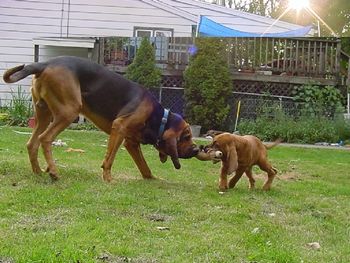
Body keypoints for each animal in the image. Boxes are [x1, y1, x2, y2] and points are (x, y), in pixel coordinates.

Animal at [3, 56, 200, 182]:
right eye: (187, 136)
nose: (197, 150)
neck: (159, 118)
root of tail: (44, 63)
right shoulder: (119, 128)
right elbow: (109, 158)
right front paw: (108, 178)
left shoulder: (131, 143)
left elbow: (144, 166)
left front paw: (152, 178)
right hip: (68, 112)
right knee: (45, 139)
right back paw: (53, 172)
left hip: (44, 114)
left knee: (32, 143)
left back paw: (38, 172)